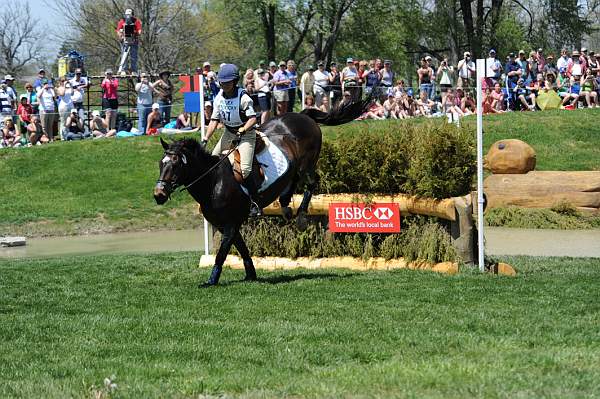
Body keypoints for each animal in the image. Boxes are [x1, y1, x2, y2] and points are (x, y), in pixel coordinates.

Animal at [154, 100, 370, 288]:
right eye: (161, 164)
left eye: (175, 165)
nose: (159, 194)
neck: (213, 181)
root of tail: (302, 116)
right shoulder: (225, 225)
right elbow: (241, 249)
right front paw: (251, 274)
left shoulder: (231, 224)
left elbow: (222, 253)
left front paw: (211, 280)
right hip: (295, 166)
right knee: (292, 179)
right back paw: (285, 204)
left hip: (307, 164)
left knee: (311, 182)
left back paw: (299, 215)